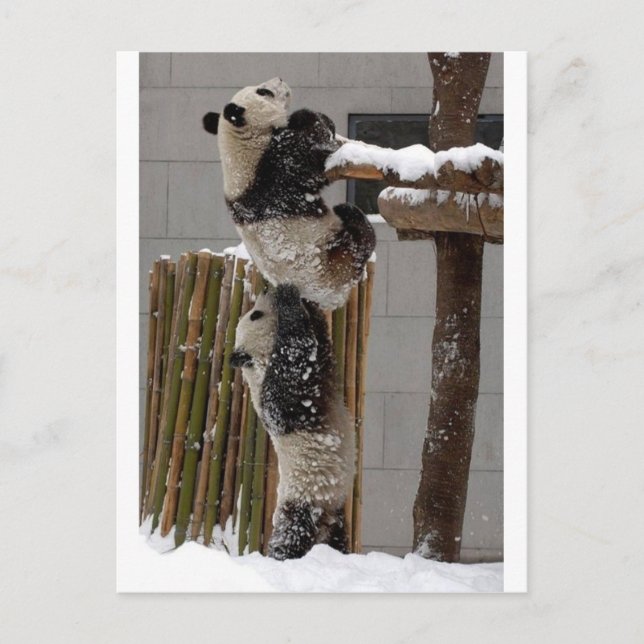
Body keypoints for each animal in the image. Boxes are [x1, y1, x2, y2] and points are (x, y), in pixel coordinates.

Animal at [203, 77, 376, 311]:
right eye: (263, 92)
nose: (280, 79)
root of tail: (328, 300)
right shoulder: (275, 168)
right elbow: (312, 152)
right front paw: (304, 116)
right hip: (335, 258)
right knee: (360, 239)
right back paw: (350, 214)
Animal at [230, 283, 354, 560]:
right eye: (255, 314)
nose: (266, 290)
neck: (257, 361)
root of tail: (324, 522)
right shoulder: (280, 397)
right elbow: (296, 358)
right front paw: (288, 296)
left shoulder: (322, 366)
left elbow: (320, 343)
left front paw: (309, 304)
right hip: (302, 498)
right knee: (291, 535)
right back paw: (281, 556)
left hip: (334, 508)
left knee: (337, 538)